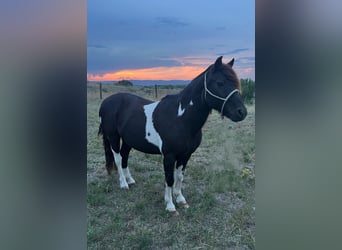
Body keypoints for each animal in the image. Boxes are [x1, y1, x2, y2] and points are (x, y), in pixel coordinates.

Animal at [97, 56, 247, 213]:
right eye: (220, 83)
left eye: (236, 83)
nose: (242, 112)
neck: (180, 119)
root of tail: (106, 102)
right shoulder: (169, 156)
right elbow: (169, 178)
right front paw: (170, 206)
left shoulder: (186, 155)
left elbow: (179, 176)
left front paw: (181, 199)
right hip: (113, 137)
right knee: (118, 158)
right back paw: (123, 184)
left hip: (128, 140)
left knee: (124, 156)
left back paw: (130, 180)